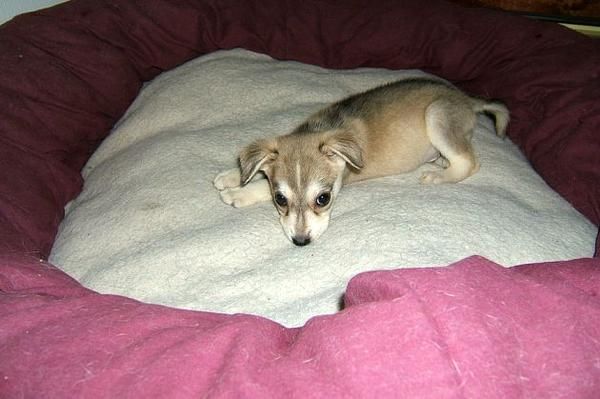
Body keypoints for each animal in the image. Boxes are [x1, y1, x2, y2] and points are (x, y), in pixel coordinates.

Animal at [213, 77, 508, 247]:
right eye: (281, 200)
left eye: (323, 199)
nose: (300, 241)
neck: (321, 128)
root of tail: (467, 99)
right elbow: (256, 172)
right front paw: (233, 175)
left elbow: (260, 185)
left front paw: (237, 194)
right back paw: (441, 163)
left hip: (436, 115)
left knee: (469, 162)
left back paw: (439, 175)